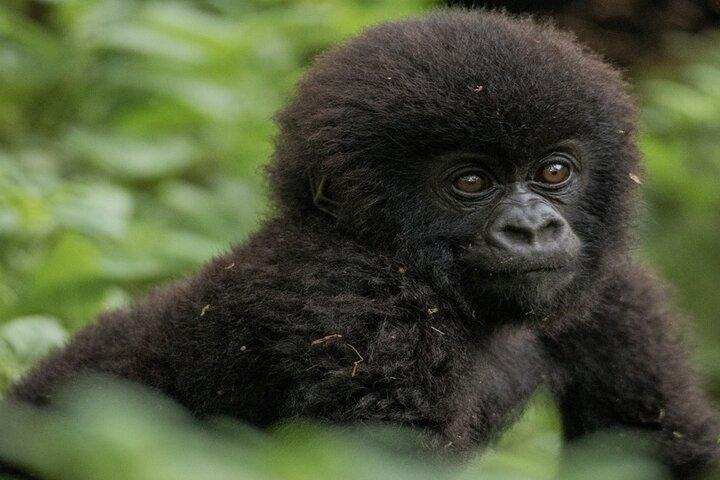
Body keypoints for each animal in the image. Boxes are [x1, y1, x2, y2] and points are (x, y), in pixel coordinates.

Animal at [5, 8, 719, 478]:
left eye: (554, 171)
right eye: (470, 182)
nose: (533, 228)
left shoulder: (612, 288)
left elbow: (662, 445)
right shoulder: (363, 315)